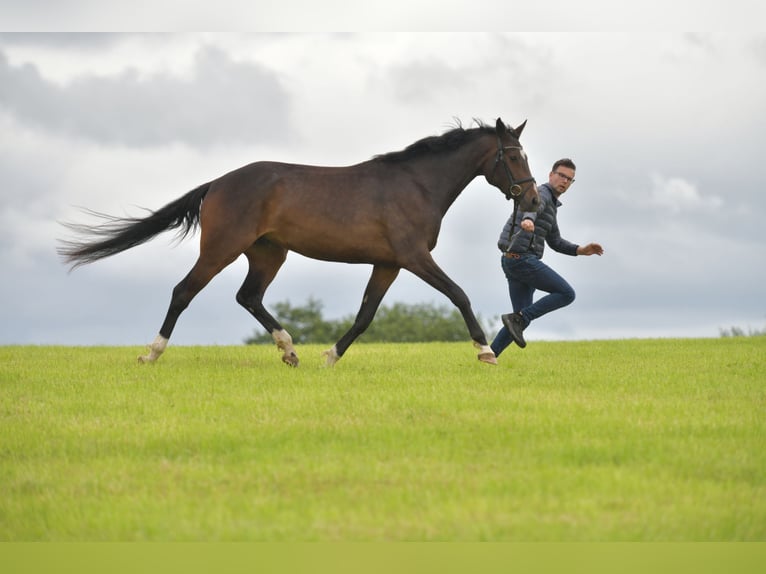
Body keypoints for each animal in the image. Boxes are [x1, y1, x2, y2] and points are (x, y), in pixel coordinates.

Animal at [60, 118, 540, 366]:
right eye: (513, 156)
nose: (534, 199)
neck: (417, 185)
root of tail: (217, 183)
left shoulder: (388, 263)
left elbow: (365, 315)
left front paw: (329, 355)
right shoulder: (413, 256)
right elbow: (459, 294)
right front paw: (485, 351)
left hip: (269, 253)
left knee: (248, 296)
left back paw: (290, 350)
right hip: (221, 249)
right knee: (184, 291)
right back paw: (152, 354)